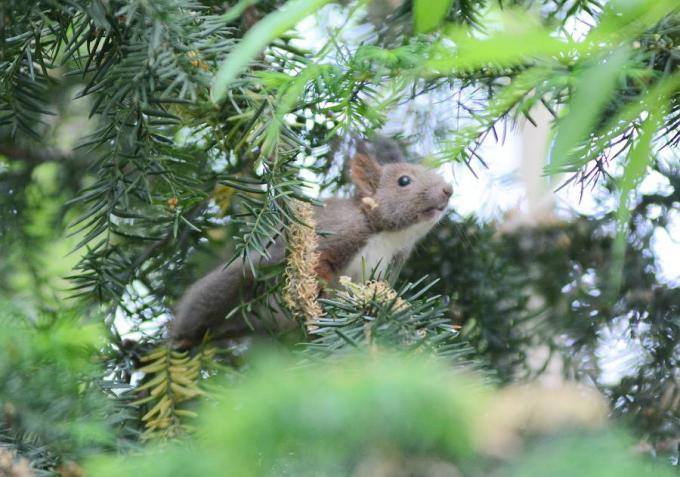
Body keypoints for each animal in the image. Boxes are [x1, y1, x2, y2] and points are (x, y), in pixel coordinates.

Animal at [168, 149, 452, 346]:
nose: (448, 190)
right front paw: (319, 289)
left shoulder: (387, 265)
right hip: (233, 283)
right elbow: (319, 262)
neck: (390, 236)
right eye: (404, 181)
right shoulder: (338, 233)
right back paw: (183, 339)